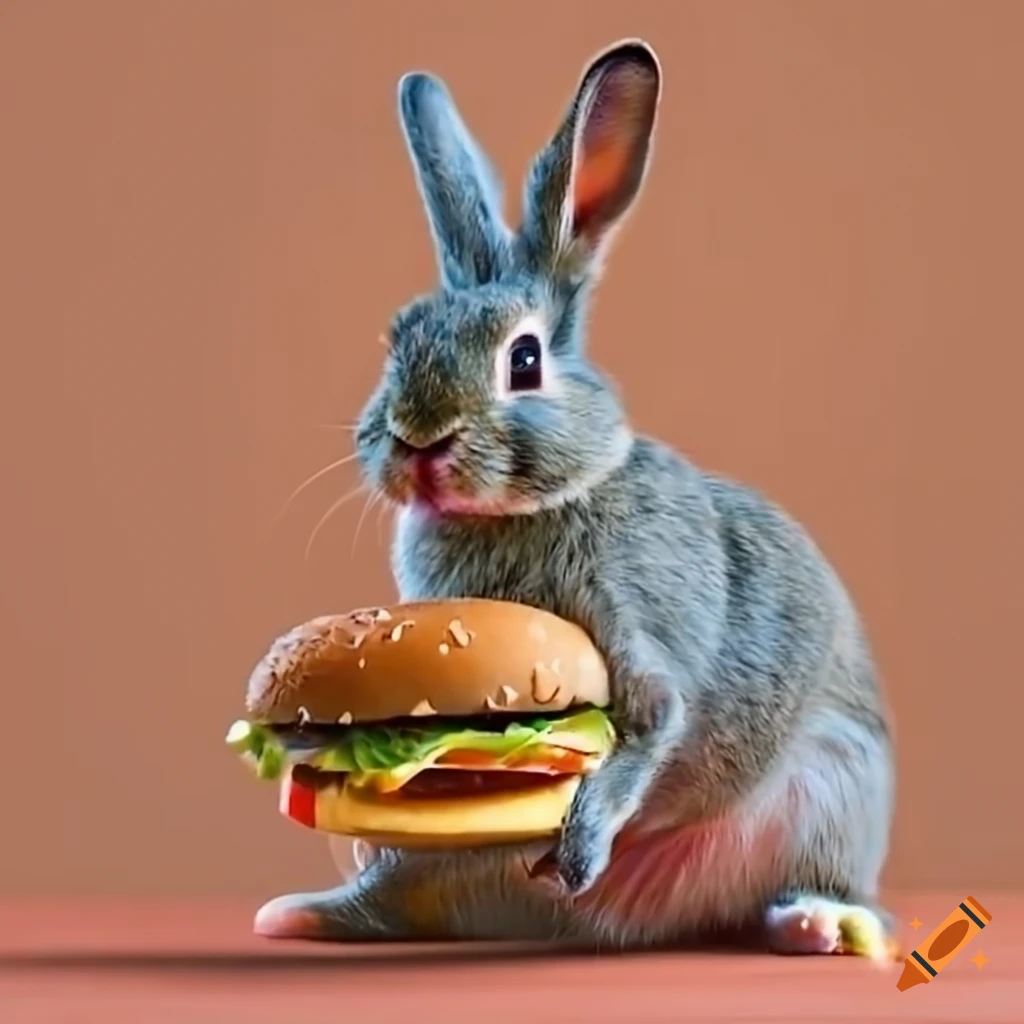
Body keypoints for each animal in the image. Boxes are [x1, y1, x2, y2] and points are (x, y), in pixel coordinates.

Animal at [255, 39, 896, 957]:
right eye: (399, 338)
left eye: (523, 360)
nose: (419, 439)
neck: (530, 509)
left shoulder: (640, 630)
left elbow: (652, 723)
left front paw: (584, 842)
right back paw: (301, 915)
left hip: (832, 795)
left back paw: (816, 922)